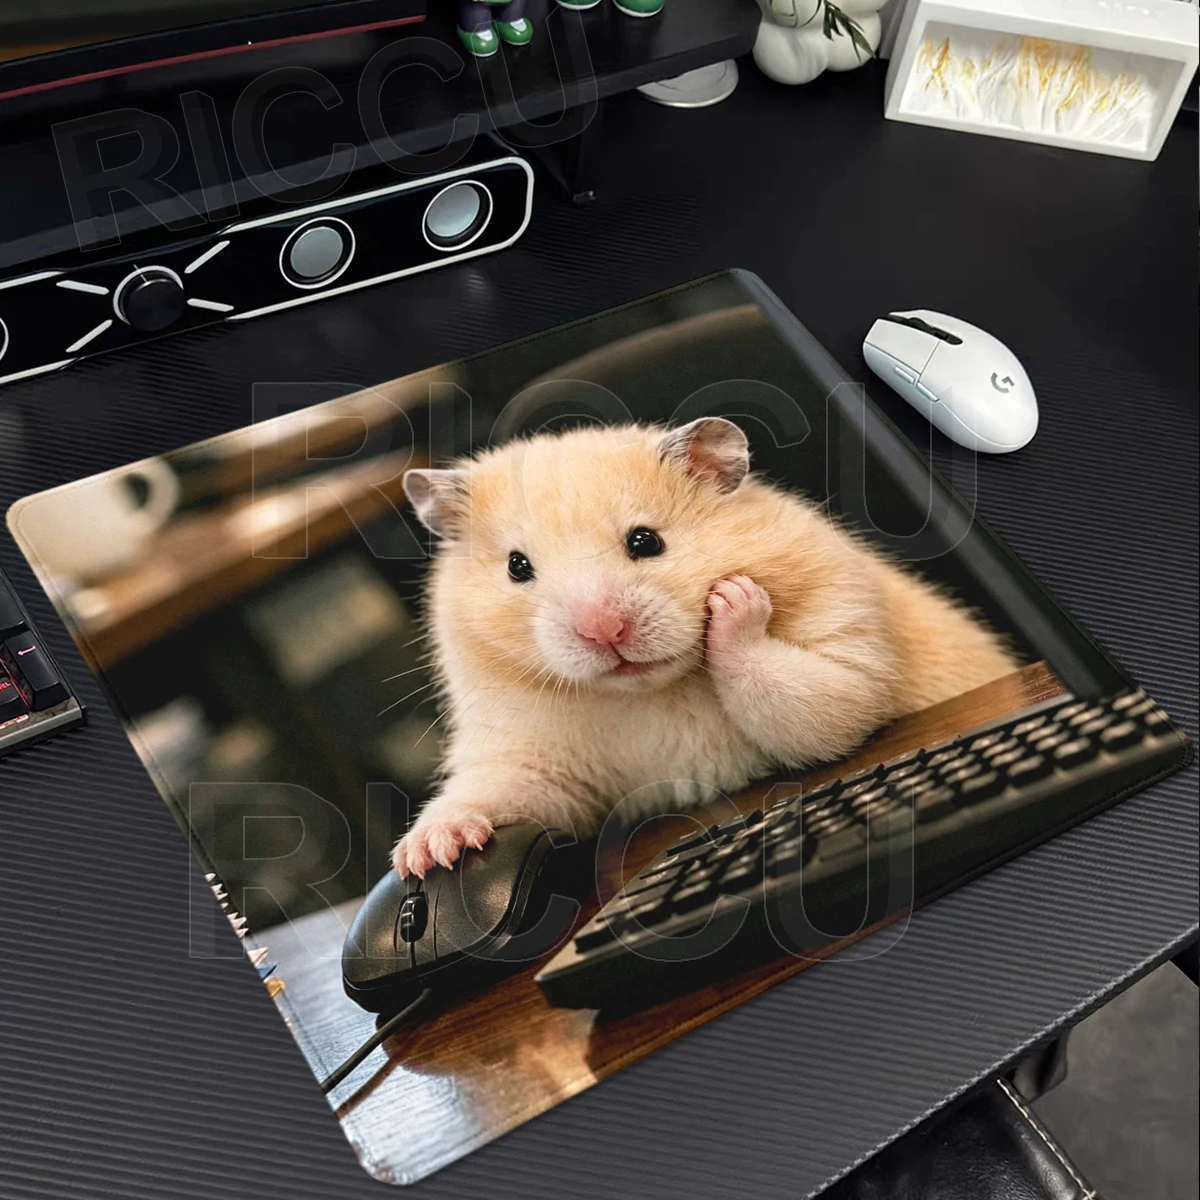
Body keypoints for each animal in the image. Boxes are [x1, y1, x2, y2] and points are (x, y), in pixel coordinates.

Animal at [393, 417, 1017, 877]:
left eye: (646, 541)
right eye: (517, 567)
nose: (604, 631)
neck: (653, 692)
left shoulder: (853, 655)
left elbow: (818, 705)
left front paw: (732, 599)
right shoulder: (532, 756)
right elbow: (496, 788)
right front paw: (425, 857)